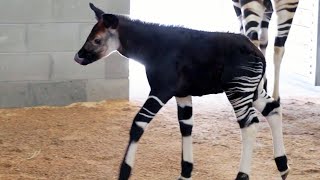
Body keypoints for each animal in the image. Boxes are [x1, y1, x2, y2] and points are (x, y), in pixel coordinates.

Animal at [74, 3, 290, 180]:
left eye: (96, 40)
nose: (77, 57)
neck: (153, 48)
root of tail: (258, 53)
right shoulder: (182, 94)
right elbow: (186, 127)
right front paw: (185, 173)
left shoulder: (161, 89)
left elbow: (138, 124)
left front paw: (124, 173)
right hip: (253, 90)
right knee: (273, 109)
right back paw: (283, 167)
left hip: (237, 90)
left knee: (250, 124)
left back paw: (242, 175)